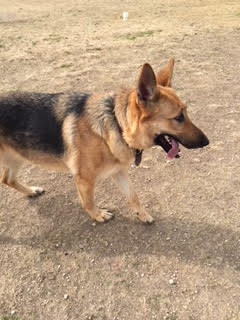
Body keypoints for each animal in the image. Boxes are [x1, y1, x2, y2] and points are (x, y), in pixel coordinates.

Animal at [0, 60, 208, 225]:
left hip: (17, 157)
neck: (117, 123)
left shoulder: (119, 171)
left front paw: (142, 215)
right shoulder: (84, 179)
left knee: (7, 179)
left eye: (186, 112)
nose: (206, 142)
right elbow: (88, 202)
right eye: (179, 117)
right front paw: (98, 215)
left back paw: (31, 191)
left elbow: (133, 196)